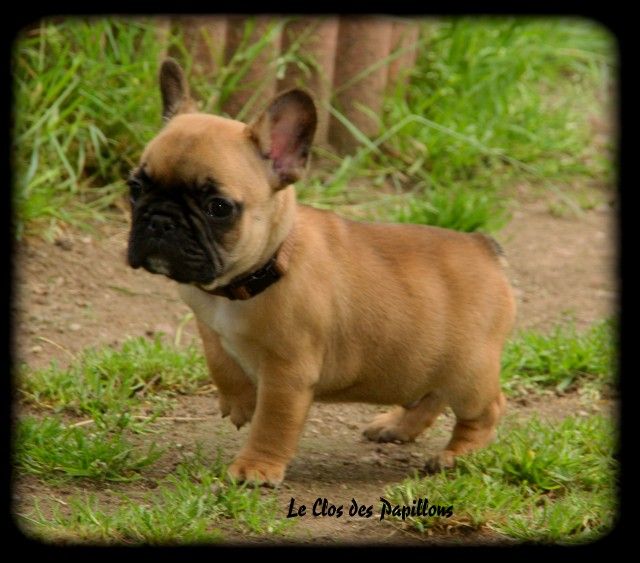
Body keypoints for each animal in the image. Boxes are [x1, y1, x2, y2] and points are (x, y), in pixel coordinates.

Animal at [127, 59, 517, 486]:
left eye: (218, 207)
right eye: (135, 188)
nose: (160, 220)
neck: (262, 270)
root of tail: (484, 247)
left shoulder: (288, 373)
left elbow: (273, 422)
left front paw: (256, 467)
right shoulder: (208, 323)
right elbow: (220, 362)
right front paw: (239, 401)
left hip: (468, 373)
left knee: (487, 409)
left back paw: (455, 456)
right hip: (424, 362)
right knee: (431, 396)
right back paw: (396, 425)